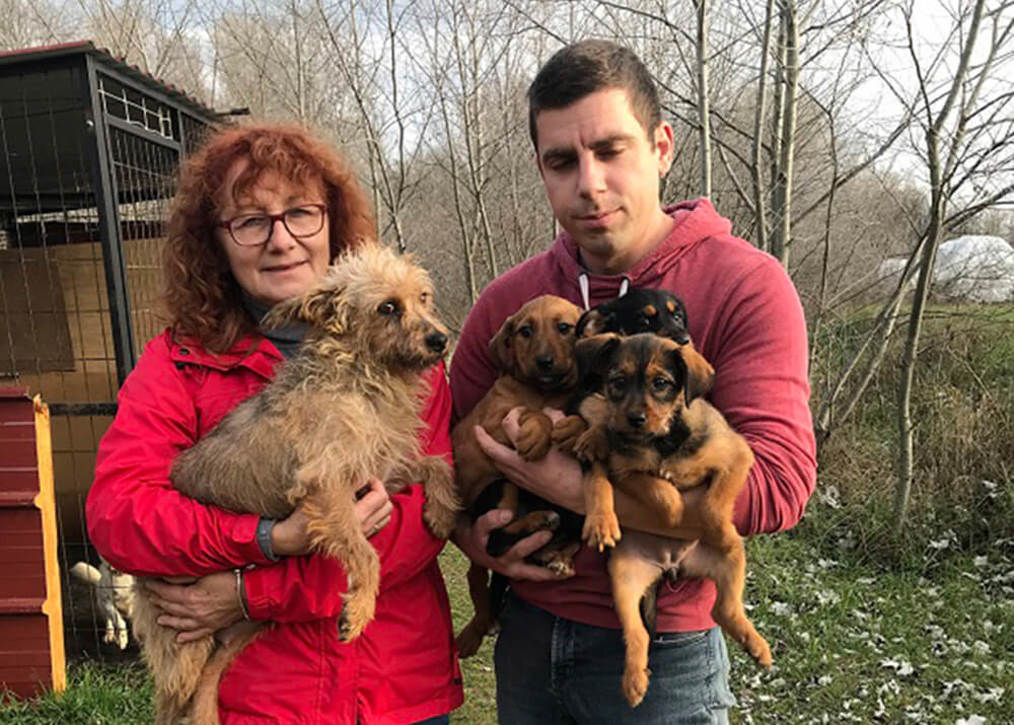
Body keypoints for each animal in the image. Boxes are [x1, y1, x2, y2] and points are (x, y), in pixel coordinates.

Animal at [451, 294, 584, 658]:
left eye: (564, 327)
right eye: (525, 331)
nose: (545, 362)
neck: (543, 391)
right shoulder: (495, 421)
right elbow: (532, 413)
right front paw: (538, 431)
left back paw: (555, 556)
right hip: (503, 484)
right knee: (496, 544)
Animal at [565, 332, 772, 708]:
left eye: (660, 383)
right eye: (617, 381)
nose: (634, 419)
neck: (663, 441)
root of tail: (672, 566)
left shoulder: (735, 456)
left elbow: (712, 505)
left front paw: (718, 529)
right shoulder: (624, 471)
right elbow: (660, 488)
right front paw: (674, 508)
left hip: (733, 560)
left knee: (725, 609)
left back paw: (757, 646)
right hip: (623, 576)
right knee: (638, 634)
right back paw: (634, 683)